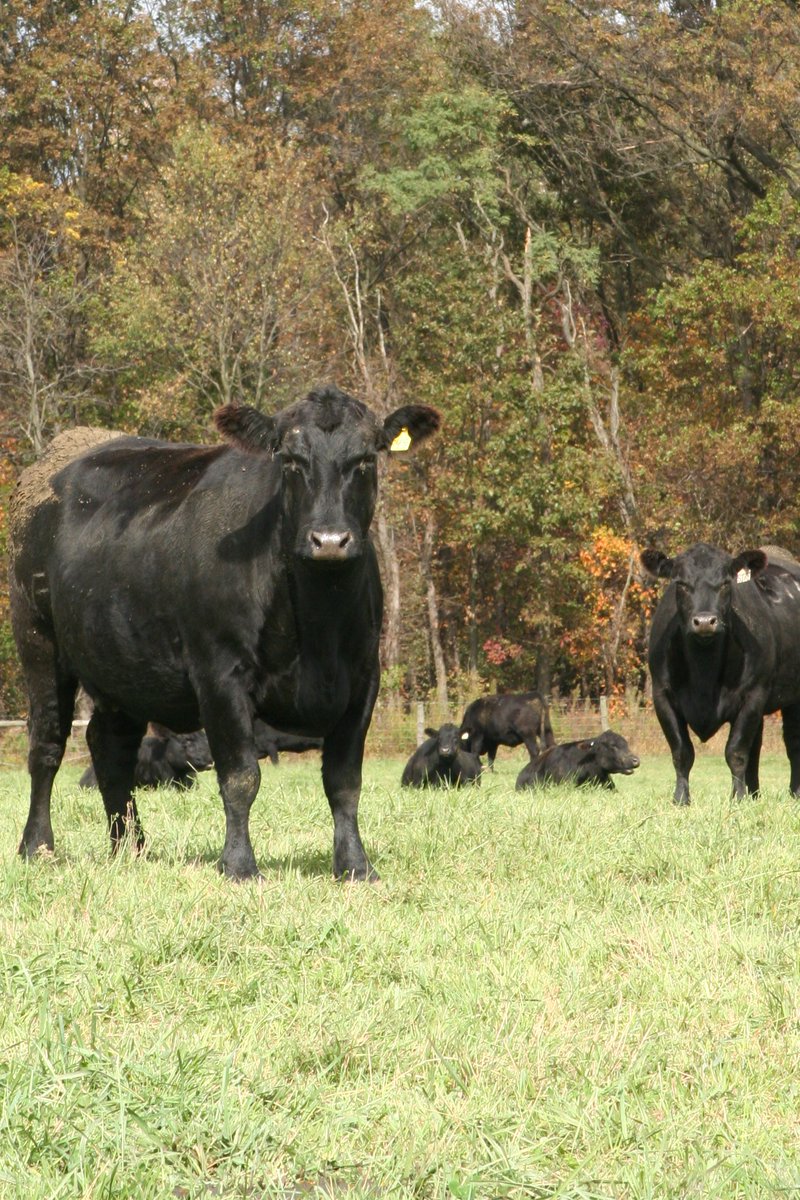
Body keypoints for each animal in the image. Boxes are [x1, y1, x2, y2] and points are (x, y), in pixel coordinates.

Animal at [9, 385, 439, 879]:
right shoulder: (219, 673)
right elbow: (240, 776)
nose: (329, 540)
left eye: (366, 459)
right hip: (36, 638)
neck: (319, 627)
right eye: (290, 460)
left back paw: (129, 849)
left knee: (109, 747)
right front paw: (239, 865)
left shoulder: (363, 678)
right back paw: (37, 845)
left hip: (122, 662)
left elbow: (345, 781)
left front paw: (355, 866)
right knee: (47, 744)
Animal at [641, 542, 800, 804]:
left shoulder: (753, 695)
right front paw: (681, 799)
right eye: (680, 584)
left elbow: (736, 751)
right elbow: (681, 752)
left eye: (726, 583)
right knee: (757, 747)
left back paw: (794, 793)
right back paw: (754, 793)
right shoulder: (661, 696)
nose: (705, 621)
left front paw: (738, 798)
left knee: (791, 742)